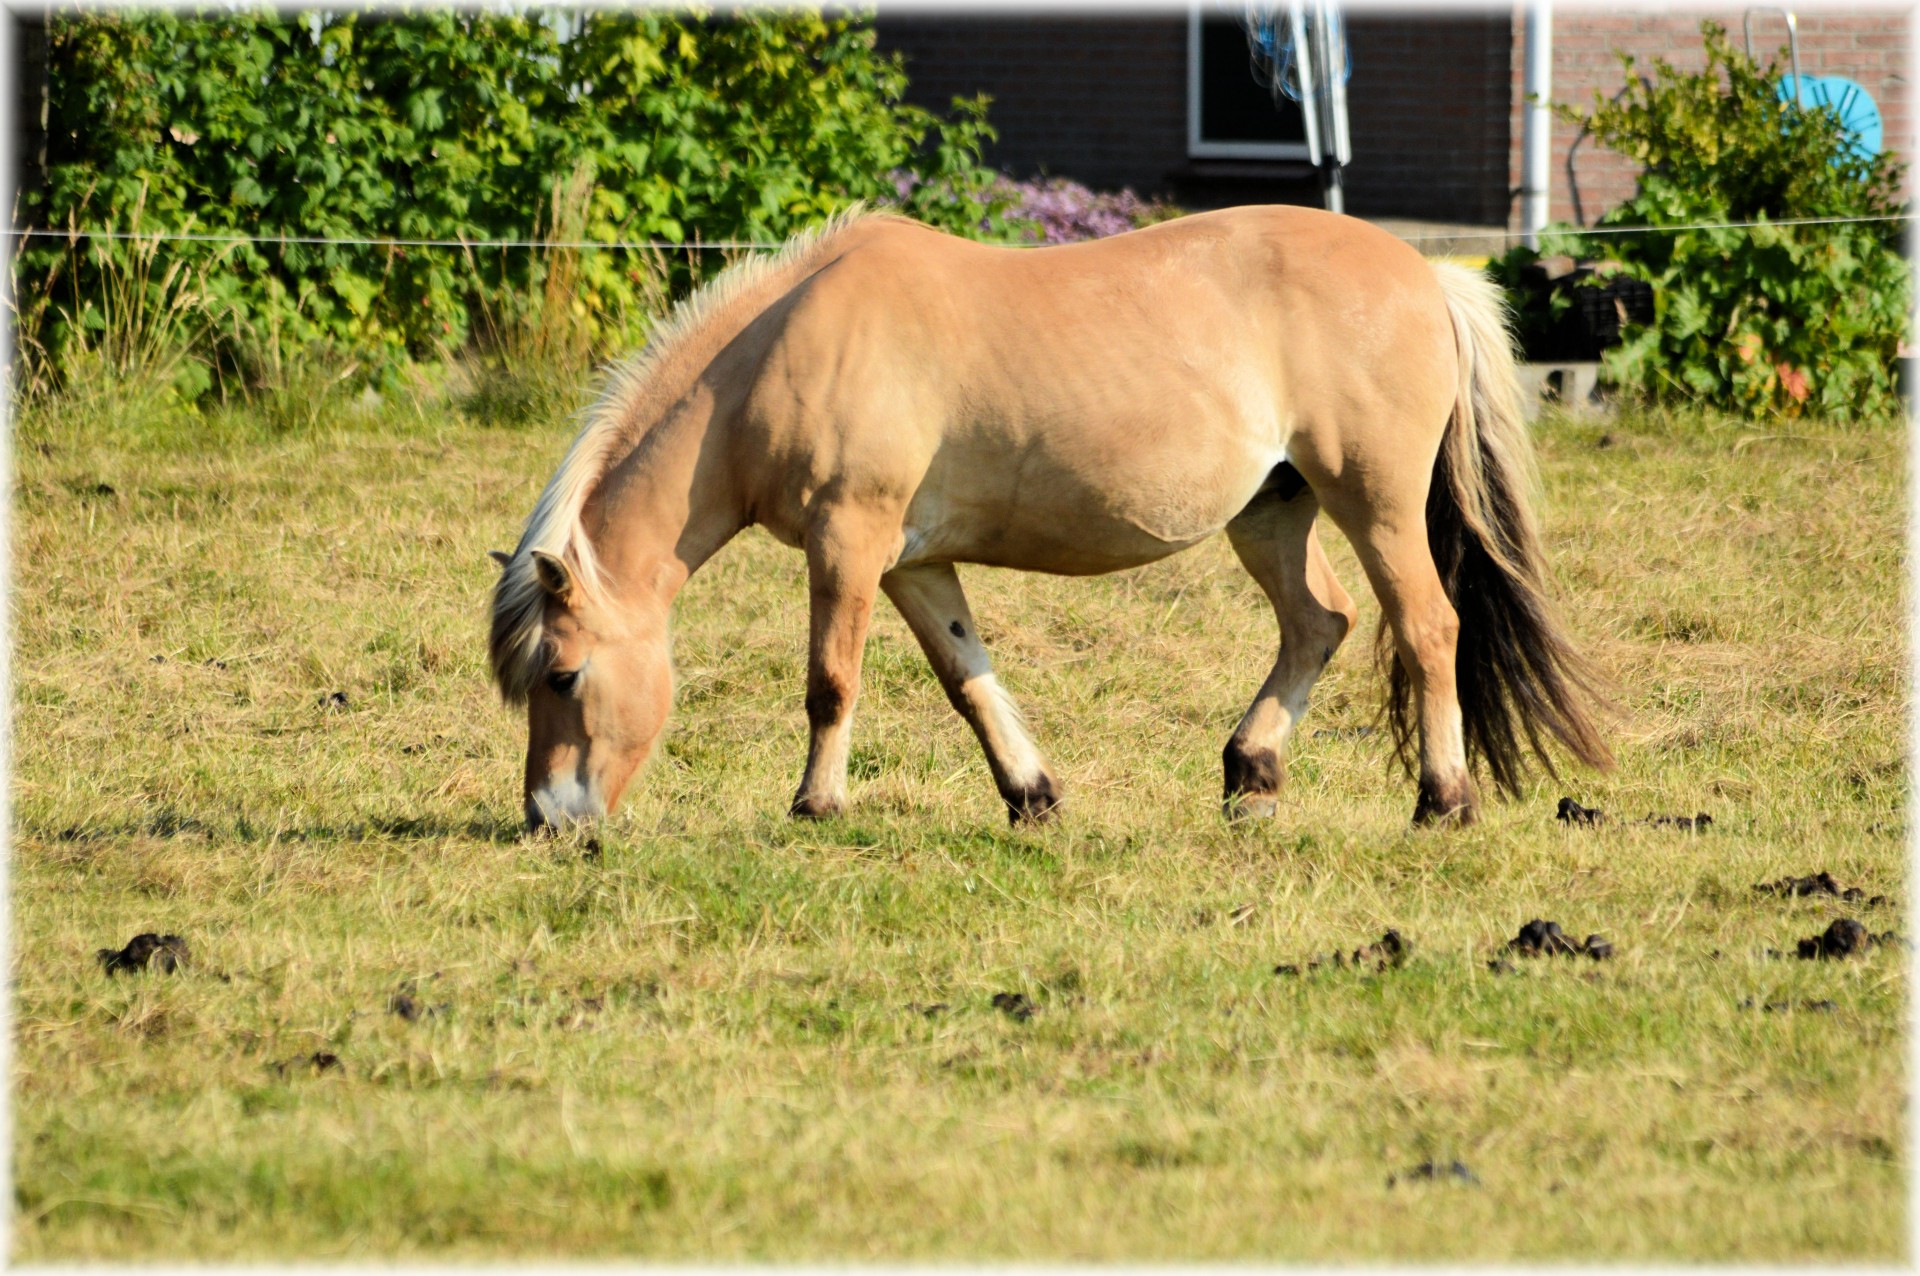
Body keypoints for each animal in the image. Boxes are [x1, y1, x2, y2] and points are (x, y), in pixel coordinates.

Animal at [487, 204, 1612, 832]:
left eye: (563, 676)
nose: (550, 820)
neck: (784, 349)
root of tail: (1427, 274)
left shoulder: (849, 543)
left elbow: (830, 683)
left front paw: (816, 805)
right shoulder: (909, 563)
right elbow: (967, 678)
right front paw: (1031, 796)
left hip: (1372, 502)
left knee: (1426, 627)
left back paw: (1442, 802)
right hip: (1273, 511)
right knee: (1317, 624)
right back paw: (1251, 775)